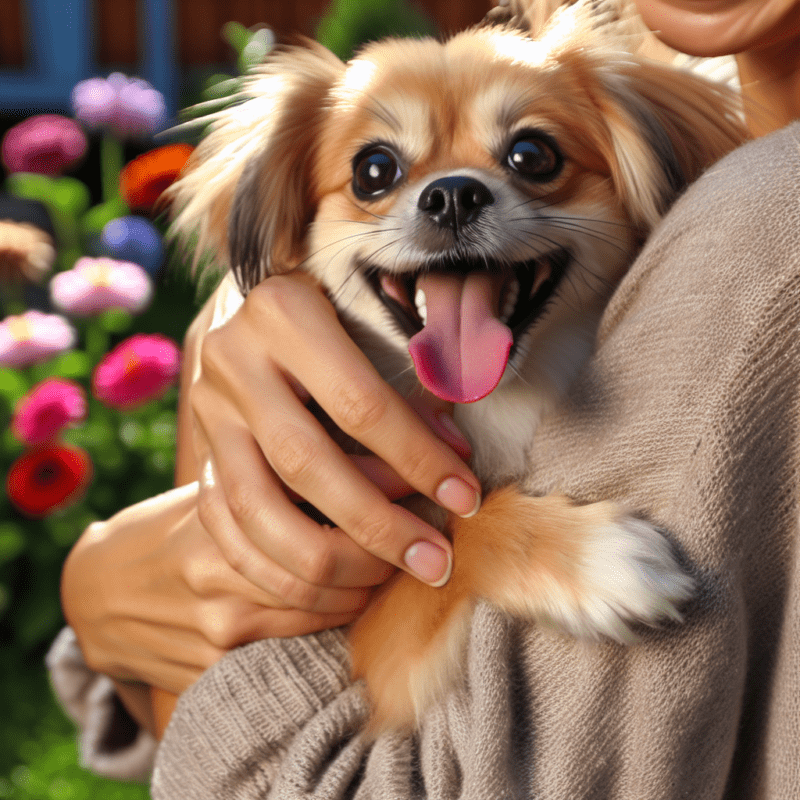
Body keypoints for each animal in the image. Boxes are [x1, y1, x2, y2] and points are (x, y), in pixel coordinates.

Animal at [170, 0, 752, 732]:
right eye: (374, 170)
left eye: (532, 154)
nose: (451, 194)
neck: (495, 404)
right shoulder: (381, 649)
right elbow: (459, 533)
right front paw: (598, 560)